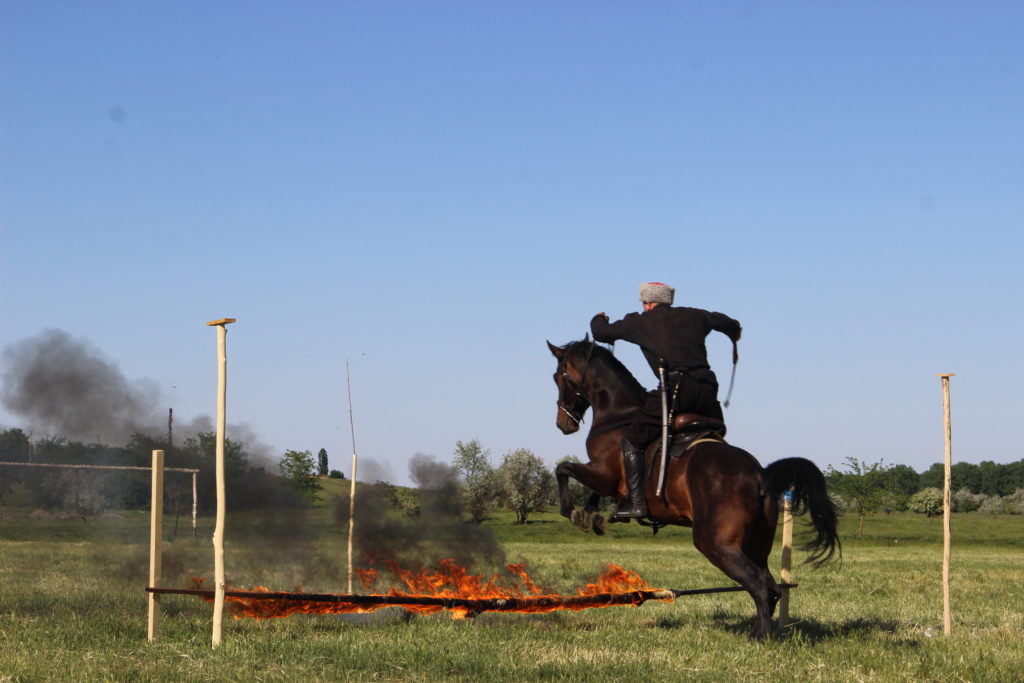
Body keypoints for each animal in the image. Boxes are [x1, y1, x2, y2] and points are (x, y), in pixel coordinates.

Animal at [548, 339, 835, 638]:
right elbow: (589, 489)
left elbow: (564, 469)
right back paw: (759, 631)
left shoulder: (603, 474)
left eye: (558, 377)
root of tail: (760, 475)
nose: (563, 424)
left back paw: (761, 637)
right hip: (756, 543)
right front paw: (590, 515)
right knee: (770, 586)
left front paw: (573, 512)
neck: (618, 415)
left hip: (715, 543)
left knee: (757, 583)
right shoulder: (605, 479)